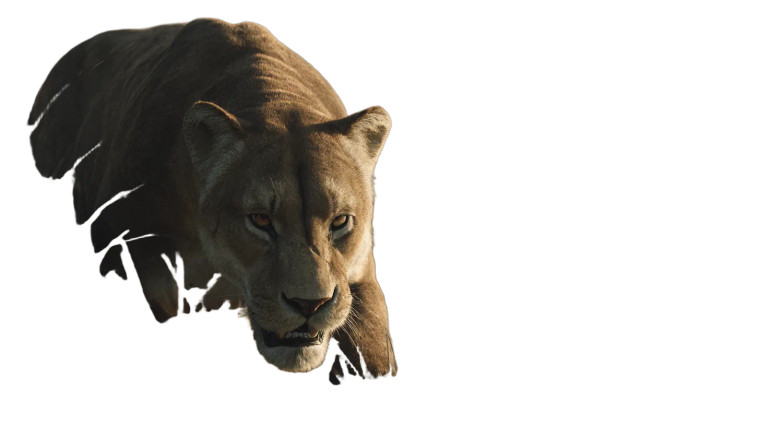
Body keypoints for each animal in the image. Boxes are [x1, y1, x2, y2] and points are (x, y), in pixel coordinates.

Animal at [27, 18, 397, 379]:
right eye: (260, 219)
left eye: (340, 221)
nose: (310, 304)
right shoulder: (128, 235)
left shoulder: (360, 277)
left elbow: (376, 353)